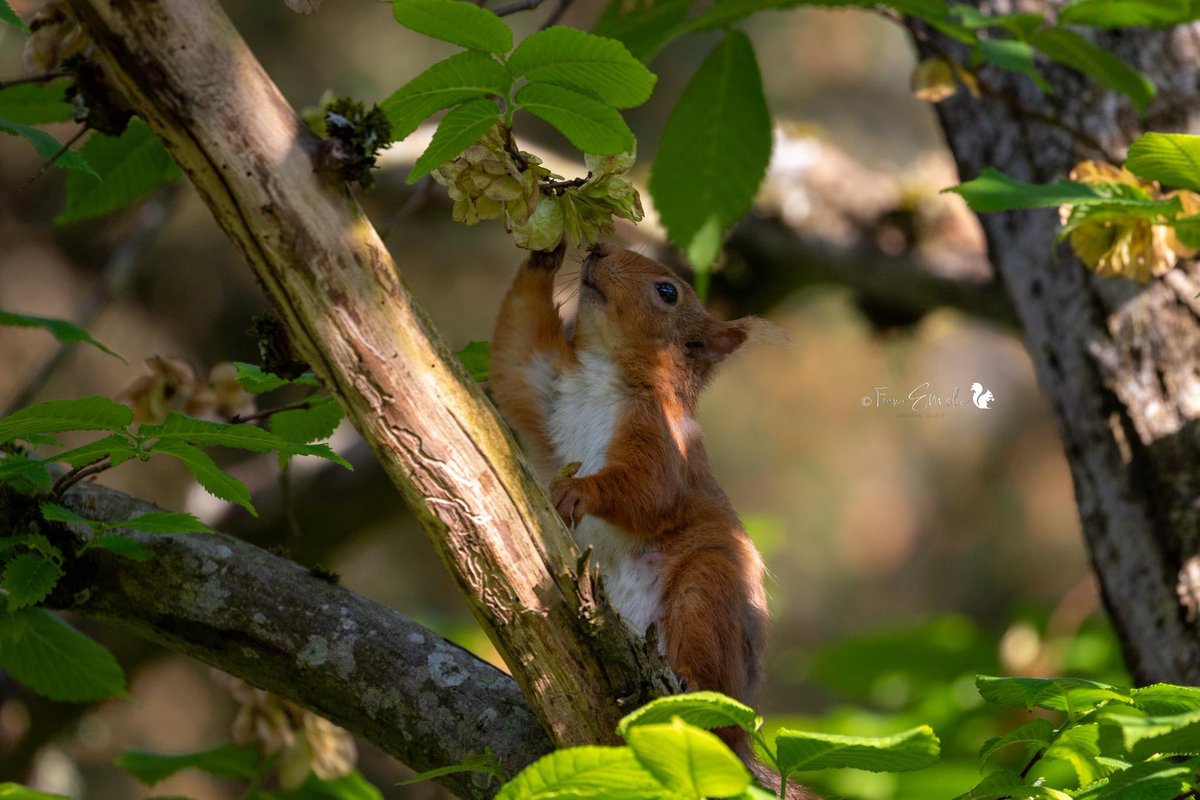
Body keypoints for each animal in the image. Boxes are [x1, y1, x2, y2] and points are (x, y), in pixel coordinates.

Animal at [492, 243, 813, 797]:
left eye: (668, 291)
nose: (597, 248)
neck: (605, 377)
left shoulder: (665, 443)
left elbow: (648, 491)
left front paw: (579, 491)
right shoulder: (548, 388)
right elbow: (514, 357)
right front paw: (544, 250)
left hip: (705, 593)